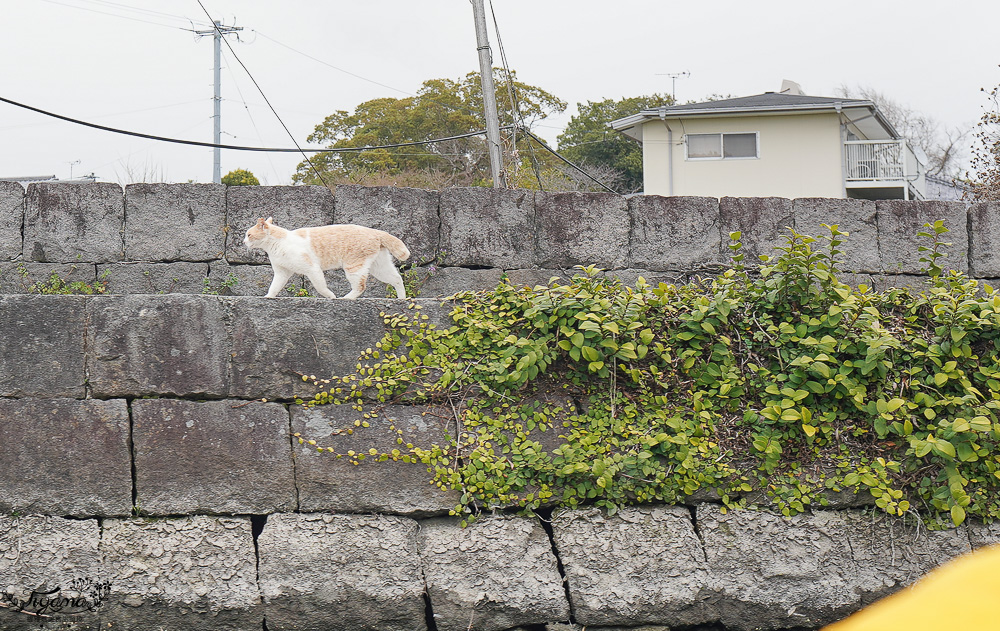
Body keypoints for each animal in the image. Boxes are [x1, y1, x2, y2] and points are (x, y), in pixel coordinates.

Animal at [242, 218, 410, 300]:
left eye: (249, 234)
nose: (243, 242)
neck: (277, 244)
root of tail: (376, 231)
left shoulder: (312, 269)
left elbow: (320, 287)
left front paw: (331, 296)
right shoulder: (282, 273)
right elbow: (274, 286)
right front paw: (268, 297)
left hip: (353, 266)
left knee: (361, 286)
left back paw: (345, 298)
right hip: (379, 267)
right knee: (397, 279)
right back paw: (401, 299)